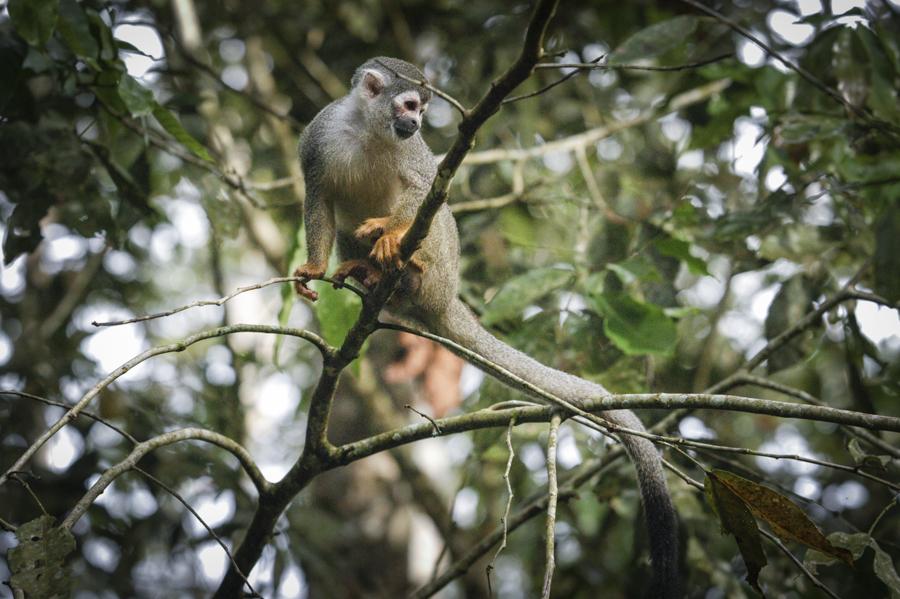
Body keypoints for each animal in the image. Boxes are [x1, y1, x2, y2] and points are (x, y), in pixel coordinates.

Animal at [292, 57, 680, 599]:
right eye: (408, 104)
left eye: (421, 110)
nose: (414, 124)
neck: (368, 130)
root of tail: (443, 299)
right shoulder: (320, 134)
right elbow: (318, 195)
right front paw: (312, 267)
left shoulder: (413, 154)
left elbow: (427, 190)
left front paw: (388, 231)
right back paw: (367, 272)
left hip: (444, 271)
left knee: (435, 213)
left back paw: (404, 265)